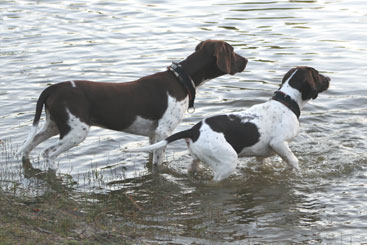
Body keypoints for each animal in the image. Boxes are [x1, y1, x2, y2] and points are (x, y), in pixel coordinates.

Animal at [16, 40, 247, 167]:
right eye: (233, 51)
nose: (246, 61)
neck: (182, 78)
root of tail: (53, 88)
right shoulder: (163, 132)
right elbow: (158, 163)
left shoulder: (154, 135)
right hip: (75, 132)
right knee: (48, 153)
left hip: (54, 126)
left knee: (28, 147)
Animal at [126, 66, 330, 181]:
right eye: (318, 75)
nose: (329, 78)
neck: (286, 101)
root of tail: (194, 130)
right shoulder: (279, 143)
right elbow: (294, 162)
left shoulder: (262, 155)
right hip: (228, 162)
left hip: (196, 160)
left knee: (192, 169)